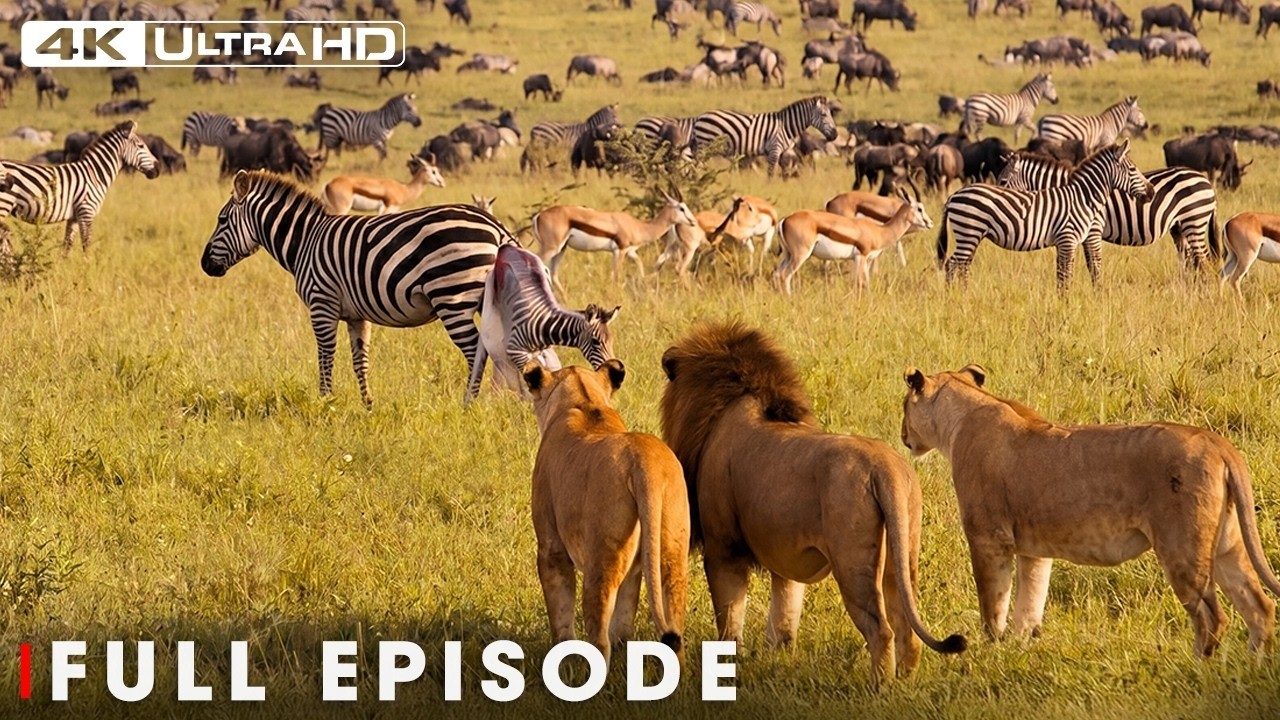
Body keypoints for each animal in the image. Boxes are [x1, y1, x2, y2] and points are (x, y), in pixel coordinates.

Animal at [525, 360, 690, 664]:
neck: (584, 402)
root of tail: (642, 461)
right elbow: (624, 619)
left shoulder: (551, 547)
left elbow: (560, 612)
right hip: (671, 550)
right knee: (672, 627)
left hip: (602, 557)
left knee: (600, 636)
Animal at [660, 322, 966, 686]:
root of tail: (884, 468)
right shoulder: (785, 557)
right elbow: (784, 622)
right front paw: (776, 665)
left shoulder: (724, 550)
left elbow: (730, 622)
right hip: (902, 554)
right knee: (905, 628)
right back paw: (905, 683)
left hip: (853, 562)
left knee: (881, 630)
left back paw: (880, 689)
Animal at [901, 365, 1280, 657]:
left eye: (904, 406)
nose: (903, 436)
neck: (962, 413)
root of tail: (1218, 442)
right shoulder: (1034, 551)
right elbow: (1030, 604)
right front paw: (1021, 649)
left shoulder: (988, 538)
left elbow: (993, 605)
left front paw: (989, 651)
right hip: (1227, 544)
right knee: (1259, 607)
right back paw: (1248, 670)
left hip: (1182, 547)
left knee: (1213, 617)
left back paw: (1199, 669)